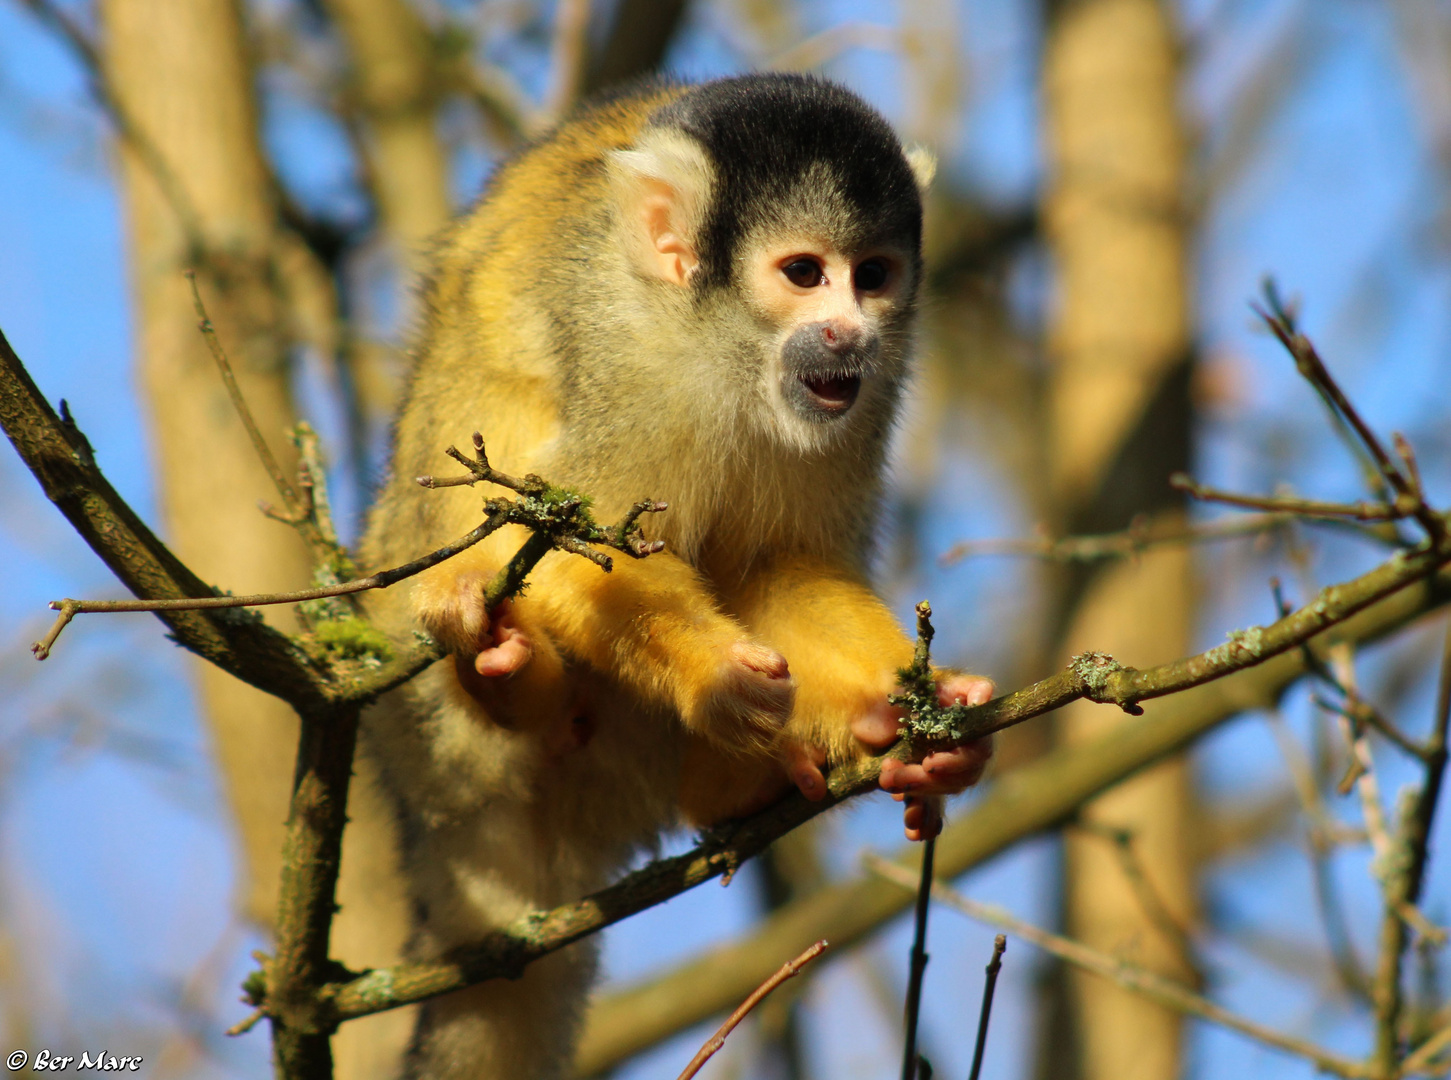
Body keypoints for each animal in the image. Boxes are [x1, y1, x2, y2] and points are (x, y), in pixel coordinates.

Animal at [362, 73, 998, 1080]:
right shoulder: (629, 355)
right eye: (804, 274)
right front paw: (716, 678)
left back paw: (751, 779)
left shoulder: (870, 390)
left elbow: (775, 565)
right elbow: (567, 548)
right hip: (424, 733)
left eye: (874, 275)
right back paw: (498, 670)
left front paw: (914, 706)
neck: (725, 347)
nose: (846, 333)